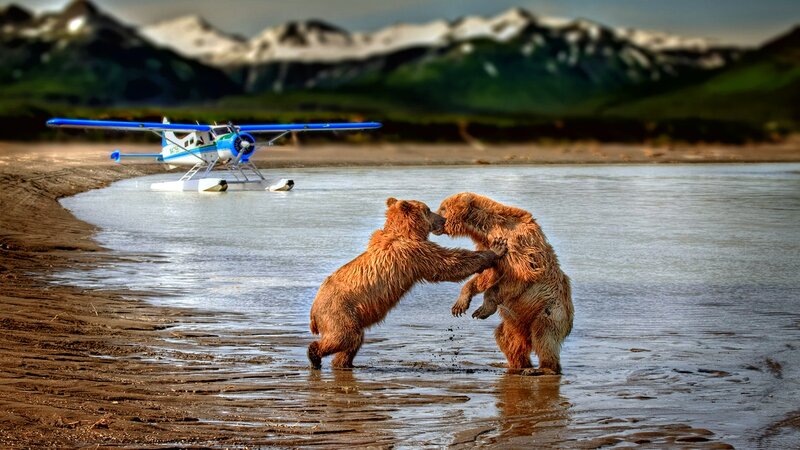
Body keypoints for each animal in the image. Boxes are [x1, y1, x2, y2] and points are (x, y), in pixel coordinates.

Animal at [307, 197, 508, 370]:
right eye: (428, 209)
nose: (443, 219)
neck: (406, 232)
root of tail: (313, 313)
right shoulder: (414, 253)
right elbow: (448, 263)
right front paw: (496, 248)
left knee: (352, 342)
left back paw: (344, 363)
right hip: (338, 312)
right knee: (345, 337)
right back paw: (314, 355)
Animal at [436, 193, 573, 375]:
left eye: (443, 208)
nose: (436, 218)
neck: (487, 229)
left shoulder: (517, 245)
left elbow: (518, 275)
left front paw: (482, 309)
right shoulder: (489, 246)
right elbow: (487, 274)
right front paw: (460, 305)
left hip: (550, 310)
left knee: (544, 336)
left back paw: (542, 368)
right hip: (516, 322)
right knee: (507, 339)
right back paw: (513, 364)